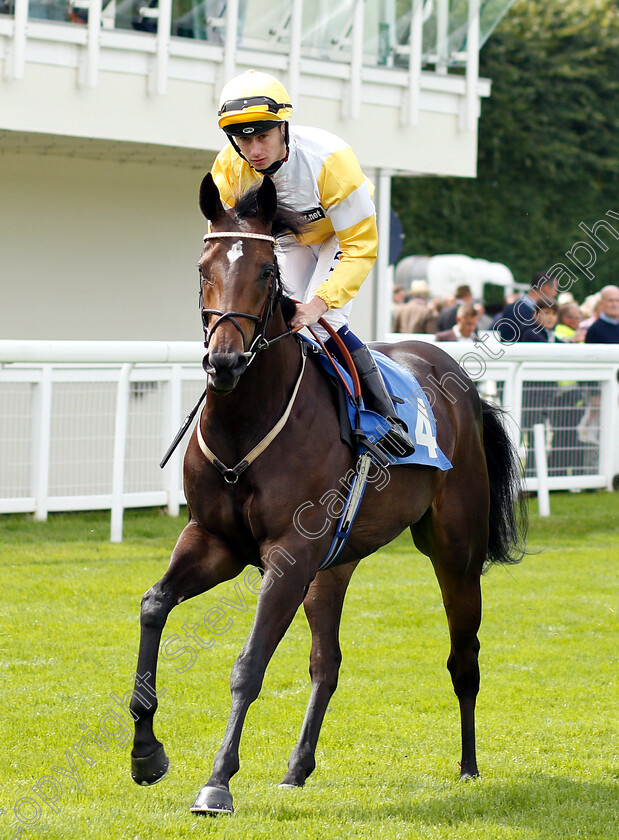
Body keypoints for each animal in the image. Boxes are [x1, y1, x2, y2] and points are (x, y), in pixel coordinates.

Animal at [131, 176, 528, 812]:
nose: (225, 361)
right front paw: (146, 752)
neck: (247, 420)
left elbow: (249, 662)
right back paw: (297, 767)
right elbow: (153, 606)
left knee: (463, 657)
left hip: (455, 552)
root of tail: (462, 382)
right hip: (332, 566)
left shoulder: (287, 557)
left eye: (266, 271)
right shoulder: (214, 540)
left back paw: (468, 766)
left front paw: (217, 781)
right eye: (203, 268)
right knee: (328, 663)